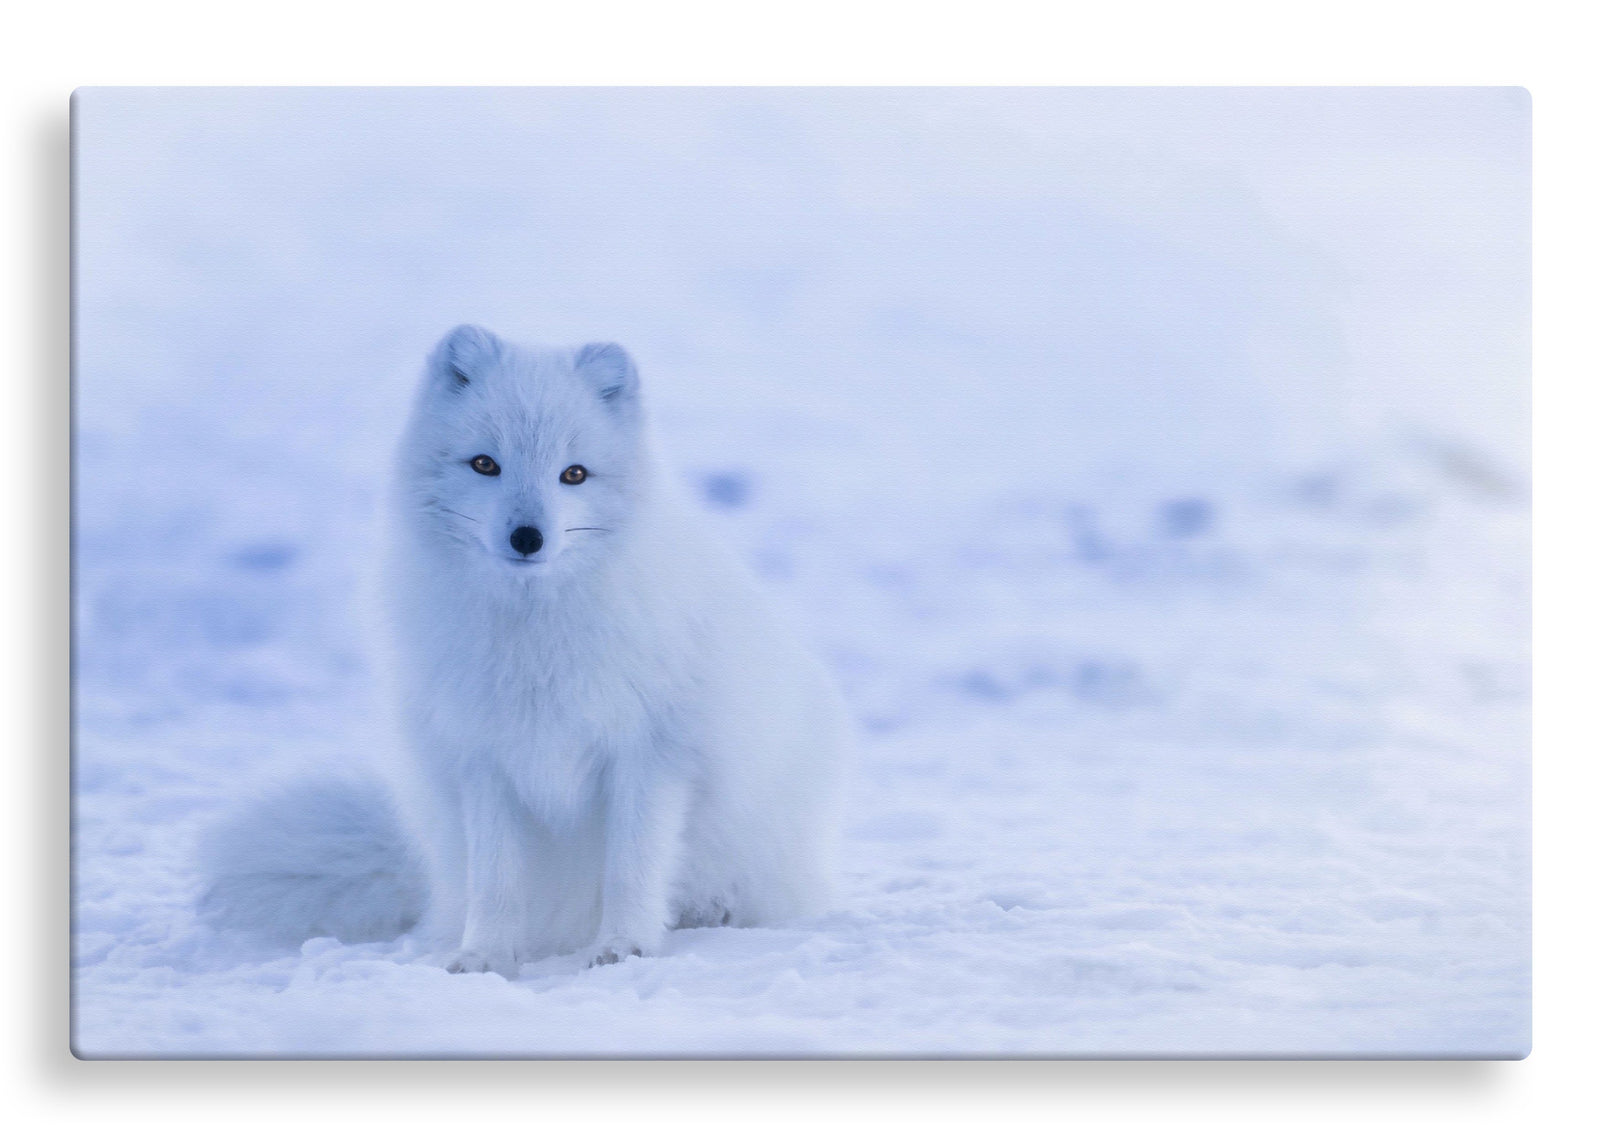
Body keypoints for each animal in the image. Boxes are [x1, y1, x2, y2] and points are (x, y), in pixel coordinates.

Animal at [199, 326, 849, 974]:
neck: (534, 638)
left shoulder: (650, 755)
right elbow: (496, 881)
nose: (527, 537)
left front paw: (624, 947)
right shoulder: (484, 759)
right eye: (485, 464)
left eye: (574, 474)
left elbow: (632, 868)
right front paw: (483, 956)